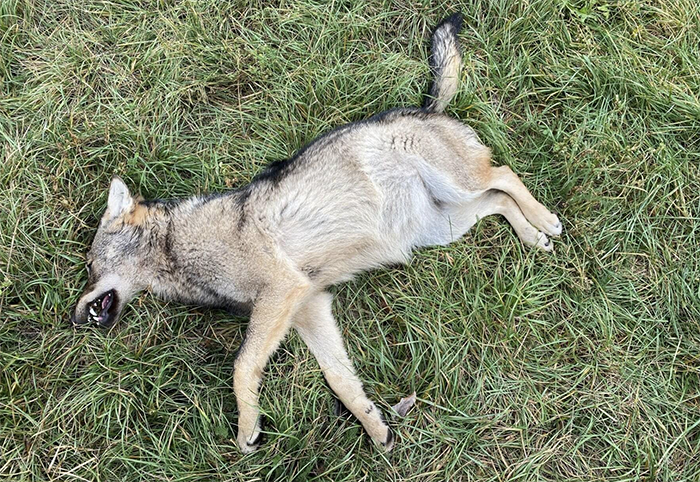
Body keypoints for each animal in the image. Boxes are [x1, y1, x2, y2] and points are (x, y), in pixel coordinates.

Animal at [71, 12, 562, 453]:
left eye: (91, 266)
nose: (74, 318)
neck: (181, 246)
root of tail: (424, 109)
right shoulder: (309, 306)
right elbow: (340, 378)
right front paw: (375, 426)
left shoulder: (281, 292)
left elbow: (242, 366)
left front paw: (248, 426)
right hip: (444, 226)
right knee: (497, 200)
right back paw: (533, 235)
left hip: (459, 187)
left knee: (504, 173)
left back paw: (546, 221)